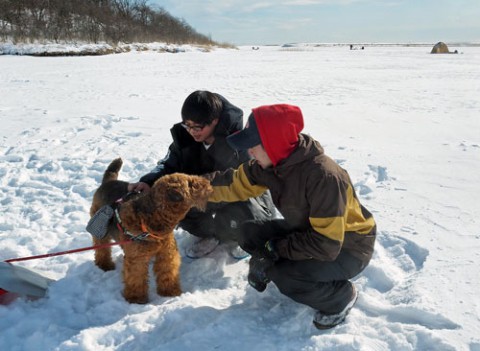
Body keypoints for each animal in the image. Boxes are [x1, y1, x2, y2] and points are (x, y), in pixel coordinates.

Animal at [89, 158, 212, 304]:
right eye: (190, 183)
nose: (209, 181)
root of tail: (108, 182)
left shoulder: (167, 254)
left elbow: (167, 273)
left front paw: (170, 292)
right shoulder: (137, 259)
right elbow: (136, 279)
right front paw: (136, 299)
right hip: (101, 231)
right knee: (101, 249)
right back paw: (105, 265)